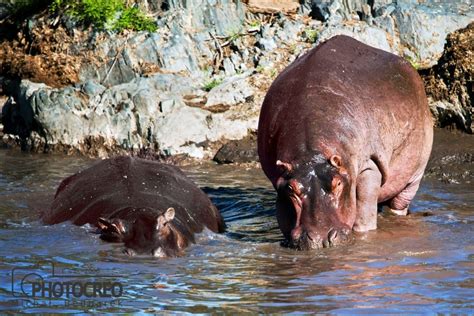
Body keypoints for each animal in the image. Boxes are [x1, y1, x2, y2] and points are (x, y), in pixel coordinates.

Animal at [260, 35, 434, 251]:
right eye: (291, 189)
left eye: (337, 183)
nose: (320, 237)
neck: (312, 153)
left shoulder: (369, 165)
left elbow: (364, 210)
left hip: (415, 174)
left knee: (399, 202)